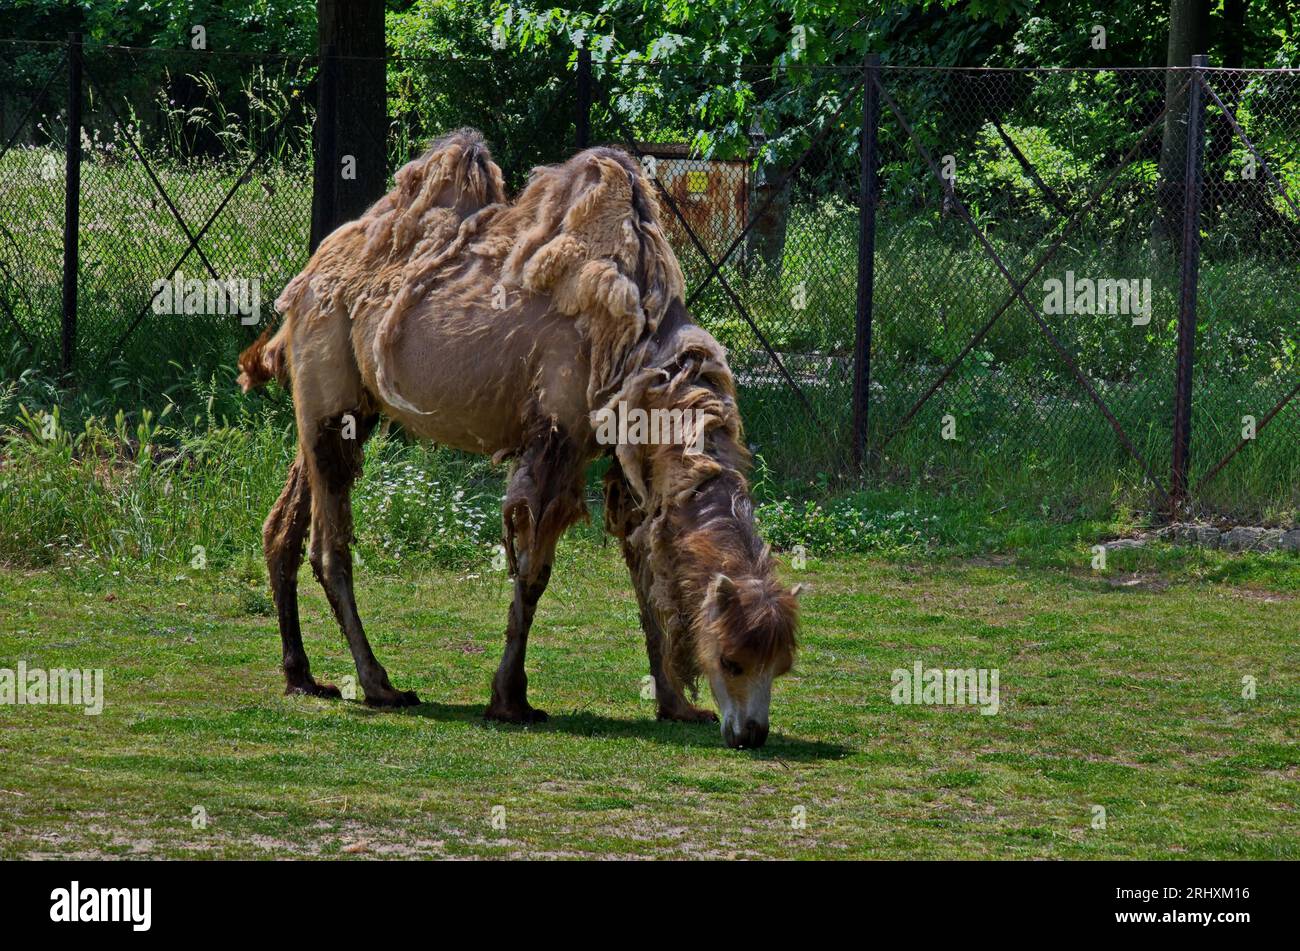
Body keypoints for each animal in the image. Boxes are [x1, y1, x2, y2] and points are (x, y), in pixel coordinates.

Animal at [239, 129, 795, 748]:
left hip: (339, 407)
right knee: (329, 545)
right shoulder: (559, 434)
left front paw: (675, 704)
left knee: (283, 524)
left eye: (780, 665)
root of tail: (305, 279)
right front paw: (510, 698)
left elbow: (643, 565)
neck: (645, 356)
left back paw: (302, 676)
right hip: (330, 380)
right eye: (731, 660)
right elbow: (533, 573)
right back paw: (380, 684)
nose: (752, 732)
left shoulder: (625, 457)